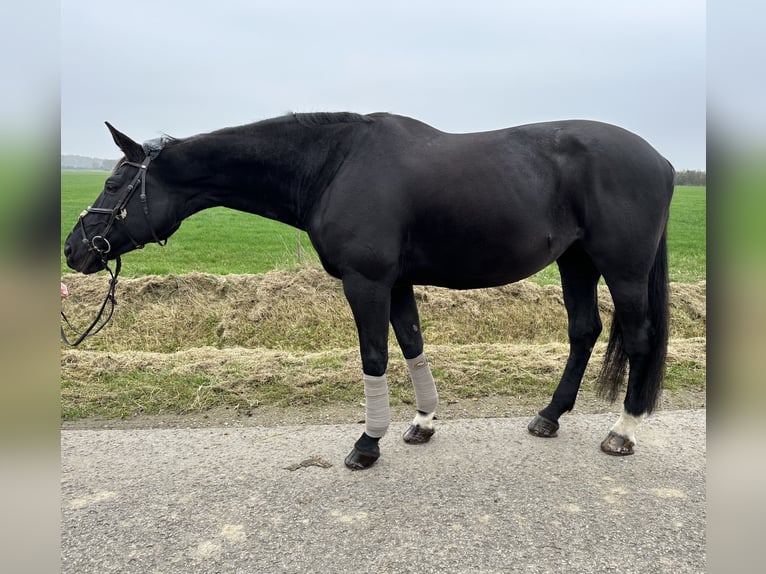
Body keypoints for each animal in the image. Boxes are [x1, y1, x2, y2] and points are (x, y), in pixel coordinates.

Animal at [67, 111, 680, 468]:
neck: (334, 165)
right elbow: (411, 345)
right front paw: (421, 424)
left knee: (640, 338)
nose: (74, 250)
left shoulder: (367, 283)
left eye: (114, 183)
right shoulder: (398, 283)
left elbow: (375, 356)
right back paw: (549, 417)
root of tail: (663, 160)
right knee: (584, 331)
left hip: (623, 269)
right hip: (576, 262)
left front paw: (367, 443)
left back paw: (622, 431)